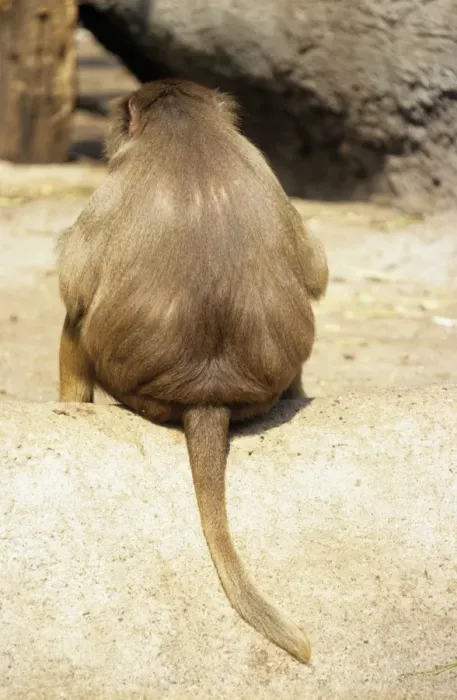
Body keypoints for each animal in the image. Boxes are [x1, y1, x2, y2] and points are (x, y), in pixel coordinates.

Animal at [57, 79, 328, 663]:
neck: (185, 127)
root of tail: (209, 392)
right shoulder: (260, 161)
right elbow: (314, 271)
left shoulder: (115, 183)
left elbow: (75, 287)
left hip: (124, 380)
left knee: (78, 315)